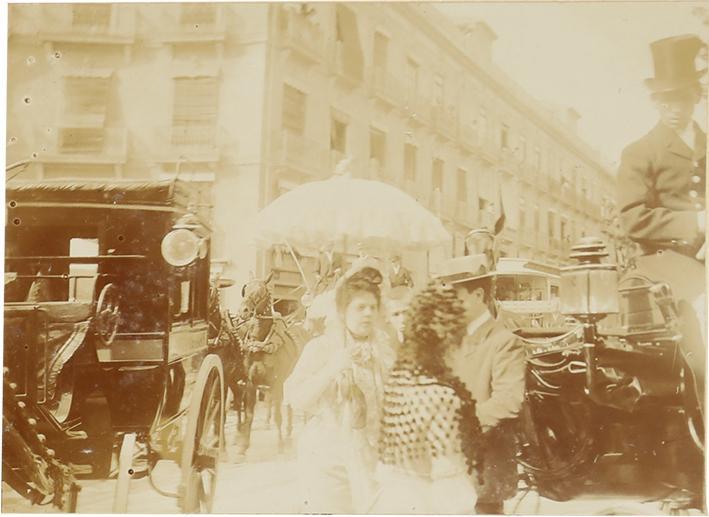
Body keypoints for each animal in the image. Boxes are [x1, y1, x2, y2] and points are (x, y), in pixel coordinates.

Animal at [231, 272, 306, 454]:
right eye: (245, 289)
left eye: (261, 293)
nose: (243, 311)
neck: (261, 346)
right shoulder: (251, 383)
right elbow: (249, 414)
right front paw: (243, 446)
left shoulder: (277, 382)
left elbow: (279, 415)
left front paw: (280, 445)